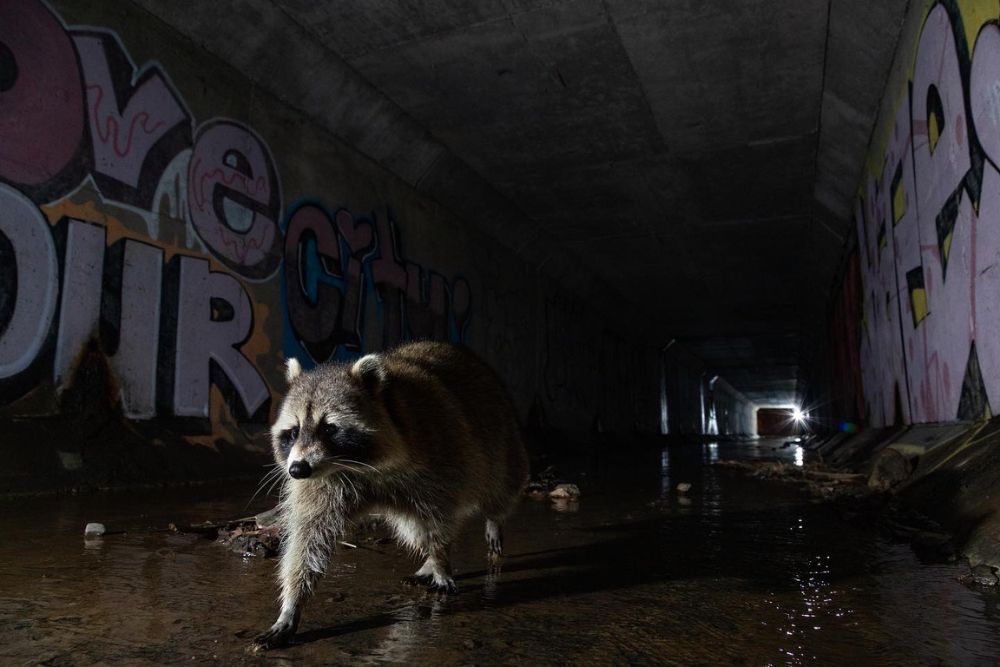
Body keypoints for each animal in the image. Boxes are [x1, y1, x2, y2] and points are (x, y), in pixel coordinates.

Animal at [253, 341, 529, 649]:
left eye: (329, 428)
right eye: (293, 431)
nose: (297, 469)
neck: (356, 466)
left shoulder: (439, 456)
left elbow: (438, 520)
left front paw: (441, 560)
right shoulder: (322, 484)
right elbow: (308, 538)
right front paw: (291, 605)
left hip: (498, 436)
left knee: (499, 483)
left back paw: (489, 520)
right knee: (413, 528)